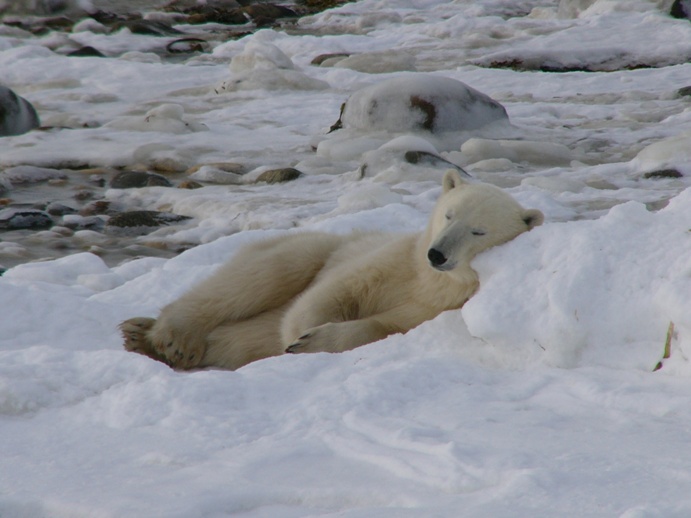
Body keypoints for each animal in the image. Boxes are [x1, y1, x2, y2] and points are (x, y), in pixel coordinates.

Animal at [120, 173, 548, 372]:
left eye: (479, 231)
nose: (437, 254)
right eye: (449, 213)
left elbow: (385, 325)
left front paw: (312, 342)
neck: (430, 281)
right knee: (266, 274)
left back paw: (145, 340)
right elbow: (335, 291)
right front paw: (300, 334)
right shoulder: (391, 260)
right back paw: (170, 337)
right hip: (319, 246)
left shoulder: (438, 305)